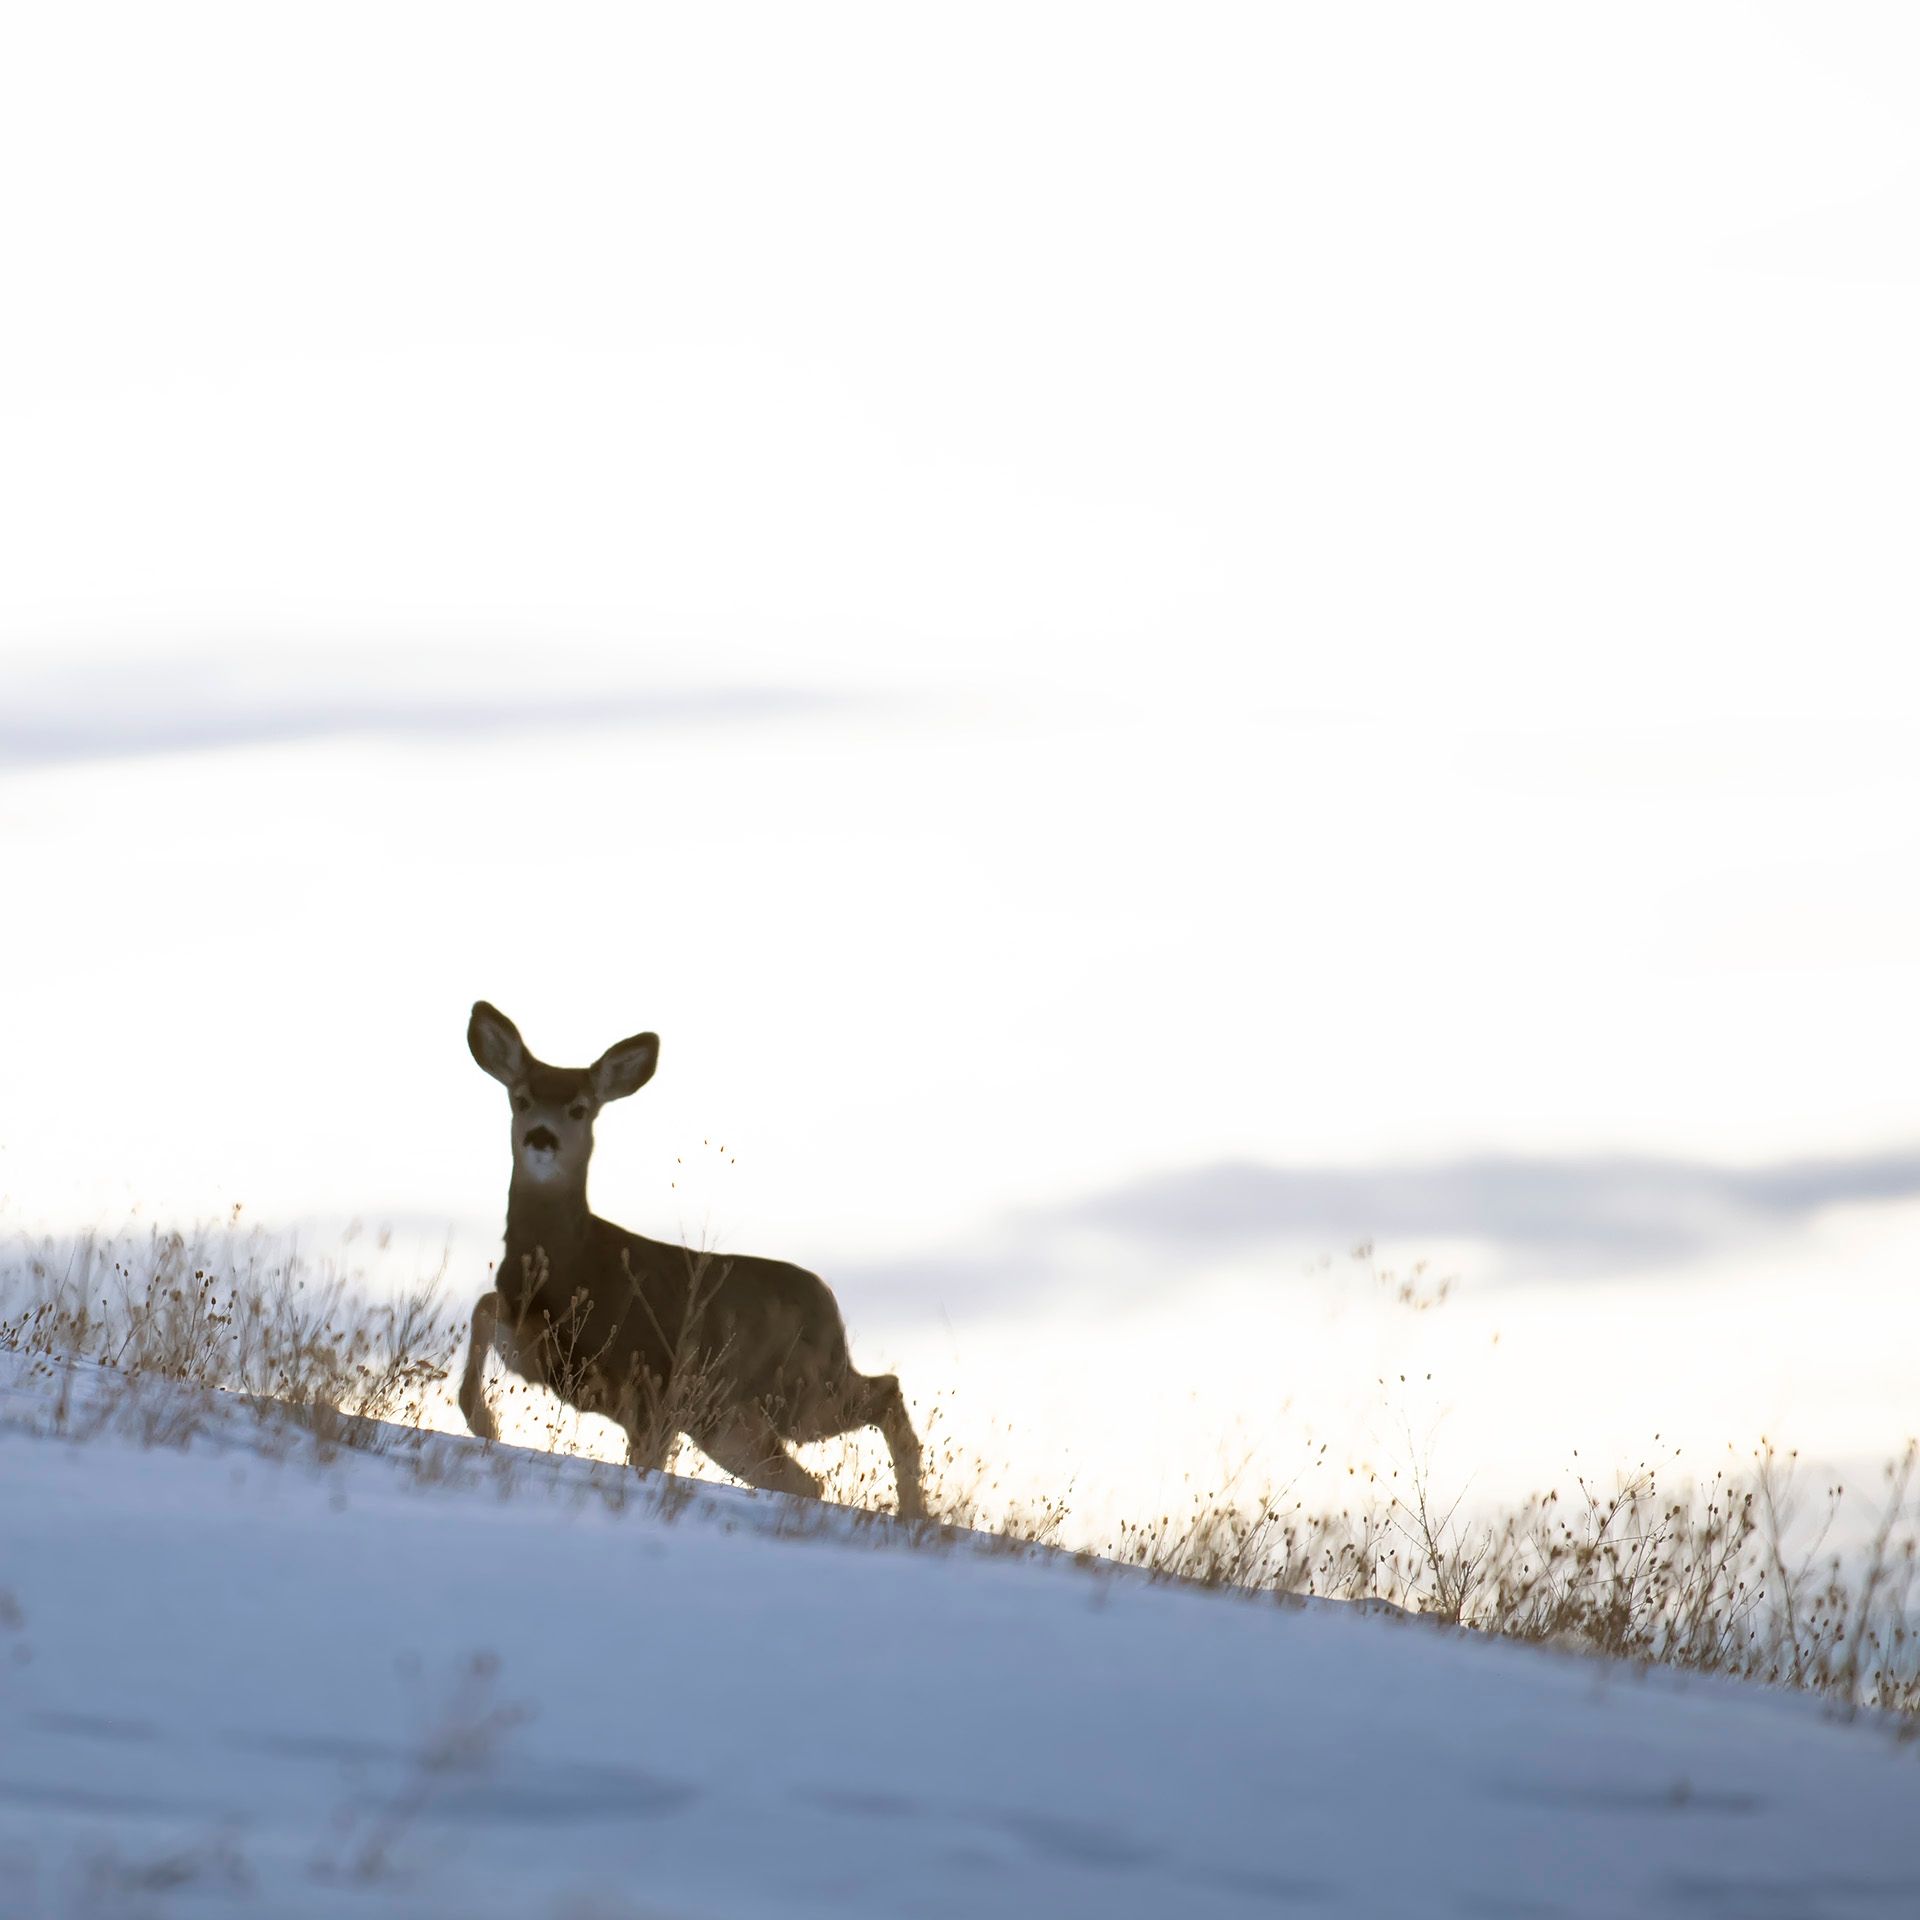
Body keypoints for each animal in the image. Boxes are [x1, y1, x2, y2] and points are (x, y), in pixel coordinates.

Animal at [456, 1006, 921, 1512]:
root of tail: (830, 1305)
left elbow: (647, 1461)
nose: (542, 1138)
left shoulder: (652, 1385)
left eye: (579, 1107)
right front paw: (483, 1421)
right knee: (805, 1478)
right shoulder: (533, 1345)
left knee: (886, 1393)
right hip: (731, 1423)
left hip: (798, 1390)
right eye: (521, 1099)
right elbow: (482, 1308)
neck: (573, 1262)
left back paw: (913, 1512)